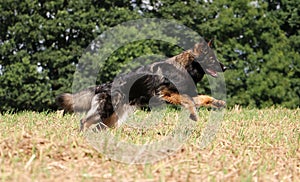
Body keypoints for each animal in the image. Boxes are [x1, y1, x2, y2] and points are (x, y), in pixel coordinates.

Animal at [56, 40, 226, 131]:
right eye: (212, 59)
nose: (225, 67)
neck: (185, 67)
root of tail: (104, 85)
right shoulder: (165, 92)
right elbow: (189, 101)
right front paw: (193, 114)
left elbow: (204, 98)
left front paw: (218, 103)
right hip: (105, 111)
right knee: (84, 121)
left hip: (114, 117)